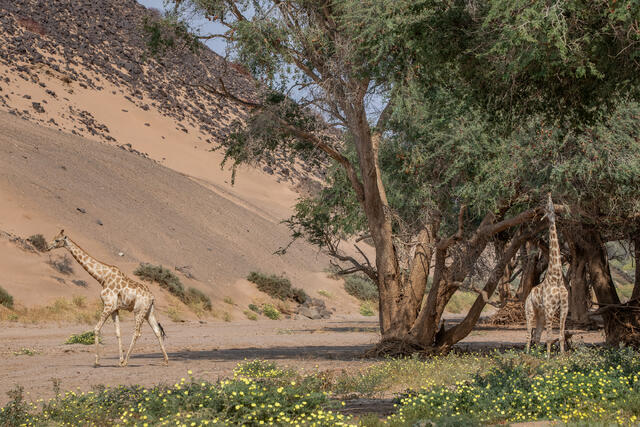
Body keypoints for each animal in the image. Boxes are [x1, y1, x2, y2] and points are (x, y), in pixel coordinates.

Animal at [47, 230, 168, 367]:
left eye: (57, 240)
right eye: (54, 237)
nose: (47, 246)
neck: (102, 277)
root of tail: (152, 297)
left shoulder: (108, 305)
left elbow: (96, 329)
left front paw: (97, 361)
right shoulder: (114, 309)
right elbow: (118, 333)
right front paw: (119, 359)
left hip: (138, 310)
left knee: (137, 332)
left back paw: (126, 361)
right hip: (149, 311)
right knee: (157, 331)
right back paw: (165, 360)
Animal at [525, 194, 569, 356]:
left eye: (552, 206)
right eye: (546, 206)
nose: (547, 215)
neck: (556, 277)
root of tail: (528, 295)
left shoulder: (564, 307)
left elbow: (561, 335)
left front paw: (562, 357)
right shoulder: (550, 308)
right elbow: (550, 337)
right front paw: (549, 358)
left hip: (541, 315)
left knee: (537, 334)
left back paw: (536, 355)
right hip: (530, 311)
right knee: (528, 334)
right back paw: (527, 354)